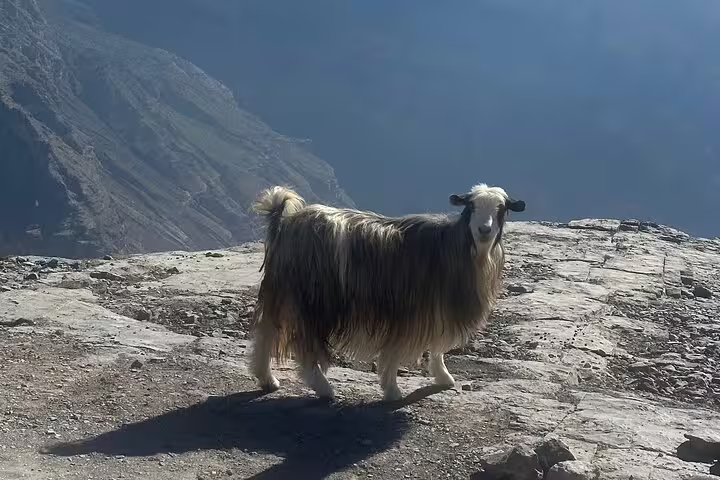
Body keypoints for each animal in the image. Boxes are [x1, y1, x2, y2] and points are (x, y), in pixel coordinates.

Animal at [249, 183, 525, 401]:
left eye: (502, 209)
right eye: (471, 206)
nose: (484, 230)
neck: (452, 246)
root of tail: (285, 223)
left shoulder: (439, 308)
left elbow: (437, 345)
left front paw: (443, 377)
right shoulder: (408, 311)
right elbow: (395, 351)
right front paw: (392, 391)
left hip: (281, 290)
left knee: (266, 331)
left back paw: (267, 379)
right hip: (314, 300)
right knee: (303, 344)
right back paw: (323, 388)